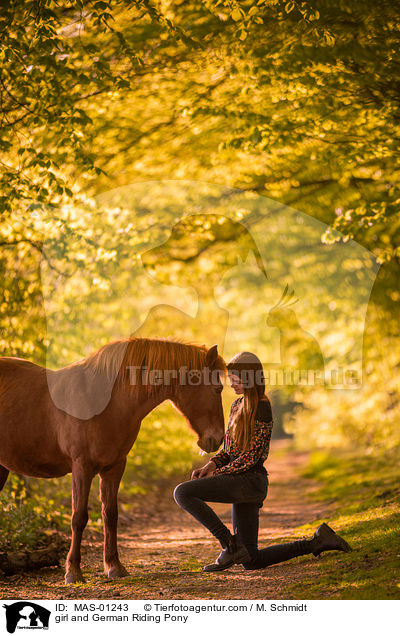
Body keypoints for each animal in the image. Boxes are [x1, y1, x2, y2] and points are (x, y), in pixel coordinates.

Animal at [0, 338, 225, 580]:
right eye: (218, 388)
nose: (218, 439)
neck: (103, 401)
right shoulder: (82, 468)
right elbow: (78, 517)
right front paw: (73, 571)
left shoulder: (114, 467)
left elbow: (110, 515)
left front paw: (114, 566)